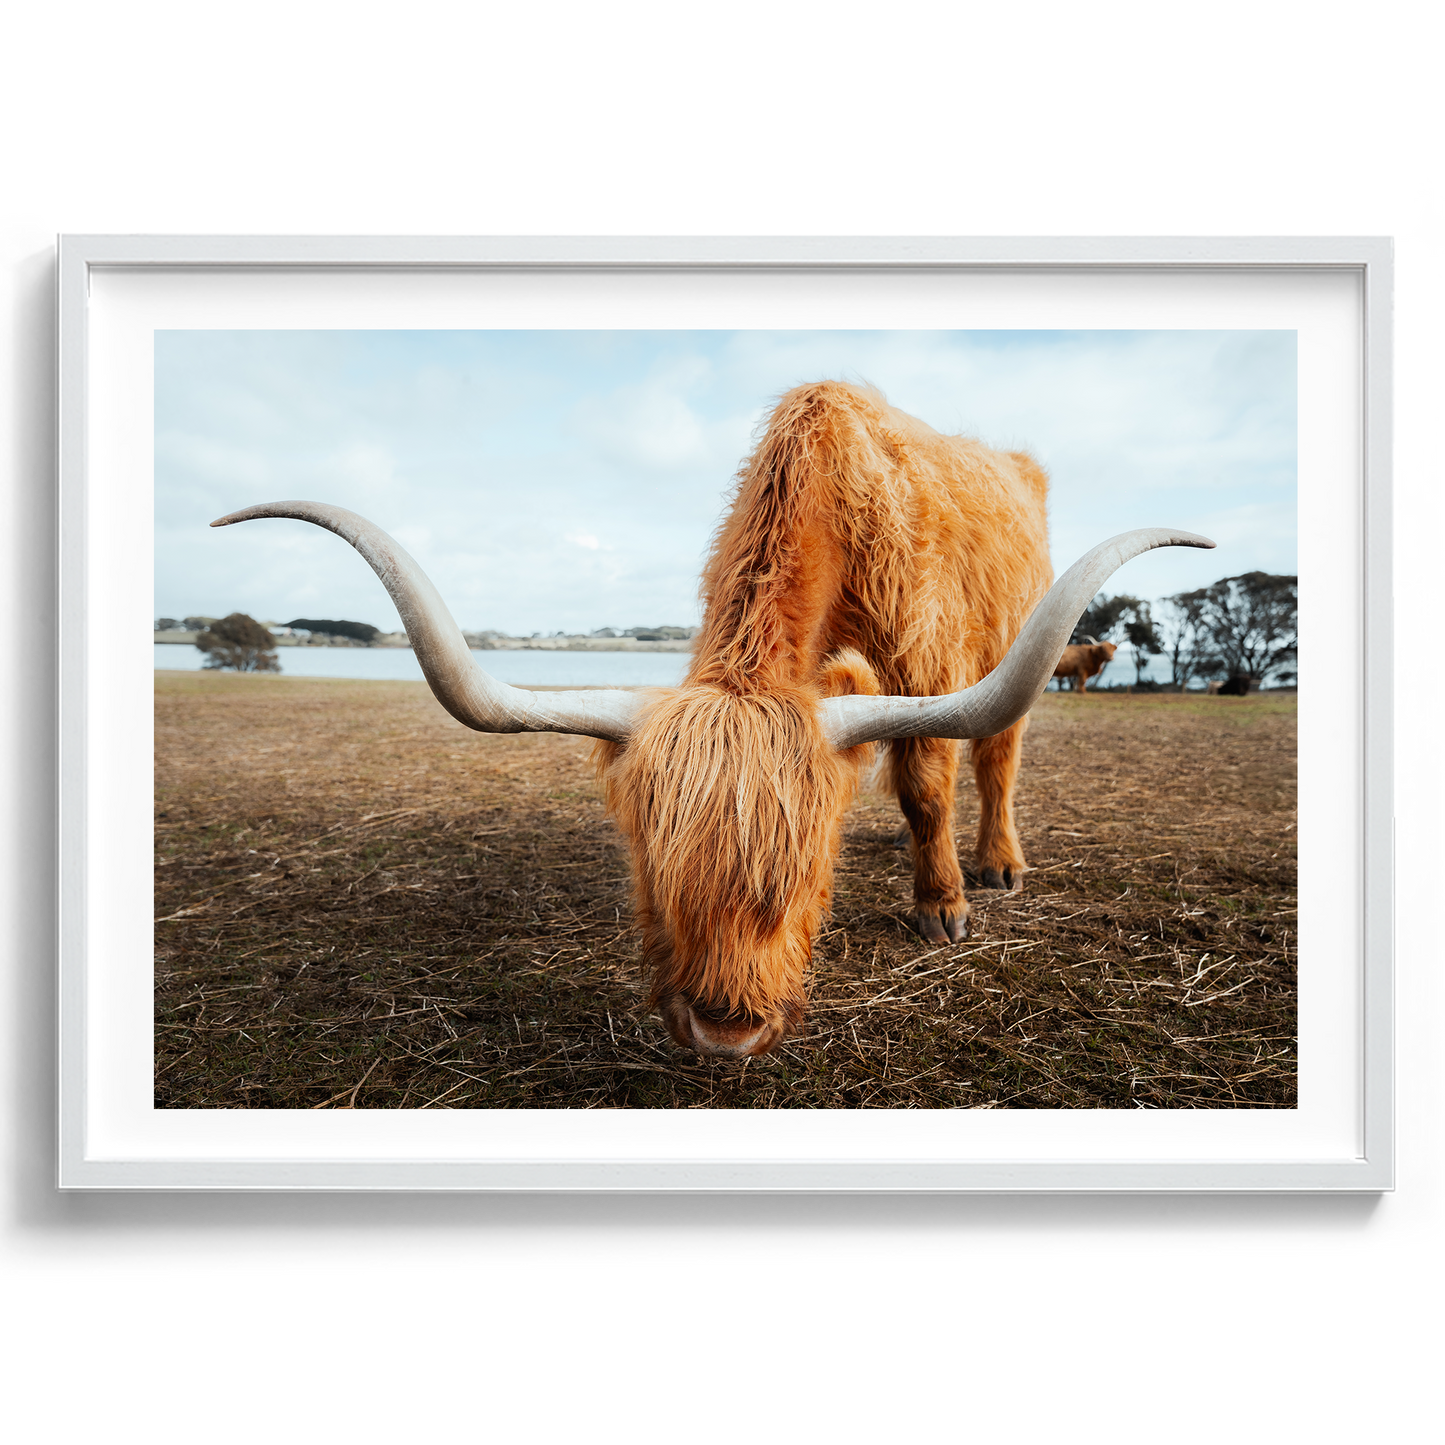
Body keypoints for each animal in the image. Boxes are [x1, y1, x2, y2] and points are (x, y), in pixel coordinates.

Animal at [213, 381, 1214, 1058]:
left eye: (808, 881)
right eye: (651, 874)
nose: (725, 1032)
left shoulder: (924, 665)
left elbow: (927, 783)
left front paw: (941, 907)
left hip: (1012, 646)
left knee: (997, 755)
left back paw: (997, 864)